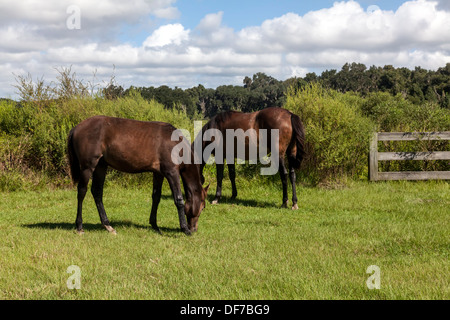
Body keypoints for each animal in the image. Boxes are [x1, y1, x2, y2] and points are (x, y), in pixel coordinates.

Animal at [67, 115, 209, 235]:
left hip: (101, 166)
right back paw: (79, 226)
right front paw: (185, 229)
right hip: (88, 167)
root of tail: (76, 128)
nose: (194, 228)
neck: (176, 144)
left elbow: (156, 197)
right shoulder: (171, 172)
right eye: (203, 207)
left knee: (97, 192)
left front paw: (155, 226)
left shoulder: (158, 173)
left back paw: (108, 225)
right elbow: (178, 199)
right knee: (82, 191)